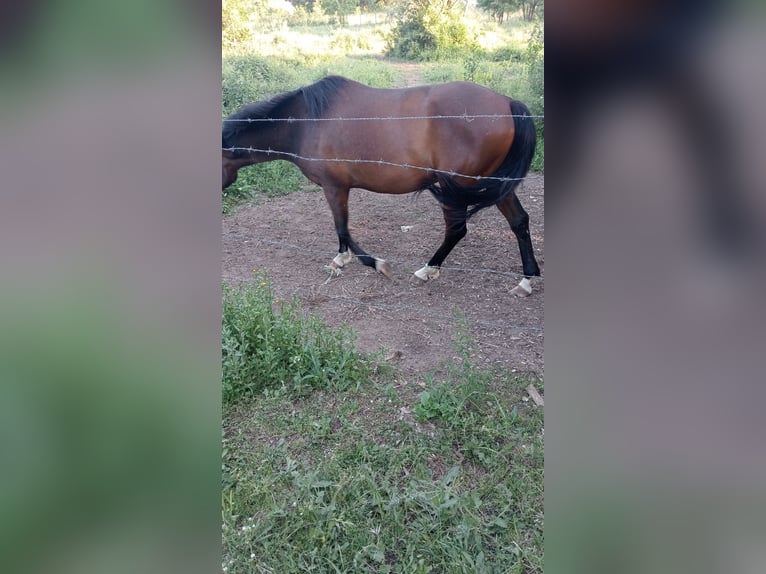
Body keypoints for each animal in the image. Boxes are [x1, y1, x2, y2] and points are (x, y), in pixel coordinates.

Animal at [224, 76, 540, 296]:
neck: (305, 121)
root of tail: (507, 103)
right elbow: (343, 229)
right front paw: (346, 259)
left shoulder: (334, 187)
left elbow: (343, 227)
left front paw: (369, 263)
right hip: (496, 186)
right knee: (519, 222)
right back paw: (526, 280)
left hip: (457, 187)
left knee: (457, 230)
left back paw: (427, 270)